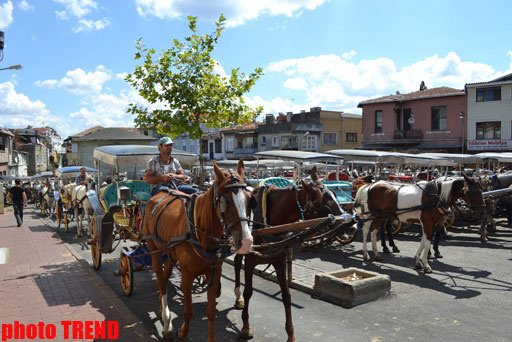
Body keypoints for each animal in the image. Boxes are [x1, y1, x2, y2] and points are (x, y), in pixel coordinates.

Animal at [143, 161, 253, 342]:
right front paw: (183, 332)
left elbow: (211, 313)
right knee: (160, 280)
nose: (246, 241)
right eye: (225, 201)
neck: (199, 229)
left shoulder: (214, 273)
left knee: (165, 278)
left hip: (171, 254)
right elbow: (188, 311)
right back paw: (166, 324)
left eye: (250, 199)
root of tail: (159, 194)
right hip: (154, 248)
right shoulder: (187, 274)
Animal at [234, 168, 354, 342]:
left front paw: (290, 334)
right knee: (236, 265)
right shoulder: (249, 263)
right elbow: (248, 292)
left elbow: (286, 295)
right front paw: (245, 326)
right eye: (324, 205)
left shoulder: (280, 261)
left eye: (335, 195)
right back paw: (237, 298)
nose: (352, 225)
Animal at [356, 175, 484, 274]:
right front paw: (426, 265)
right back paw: (366, 254)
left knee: (373, 231)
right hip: (371, 214)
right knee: (366, 230)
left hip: (381, 215)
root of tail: (370, 186)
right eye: (473, 192)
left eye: (481, 190)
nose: (480, 211)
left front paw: (418, 261)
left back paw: (377, 253)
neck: (436, 196)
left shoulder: (430, 223)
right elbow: (427, 244)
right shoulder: (427, 222)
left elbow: (424, 241)